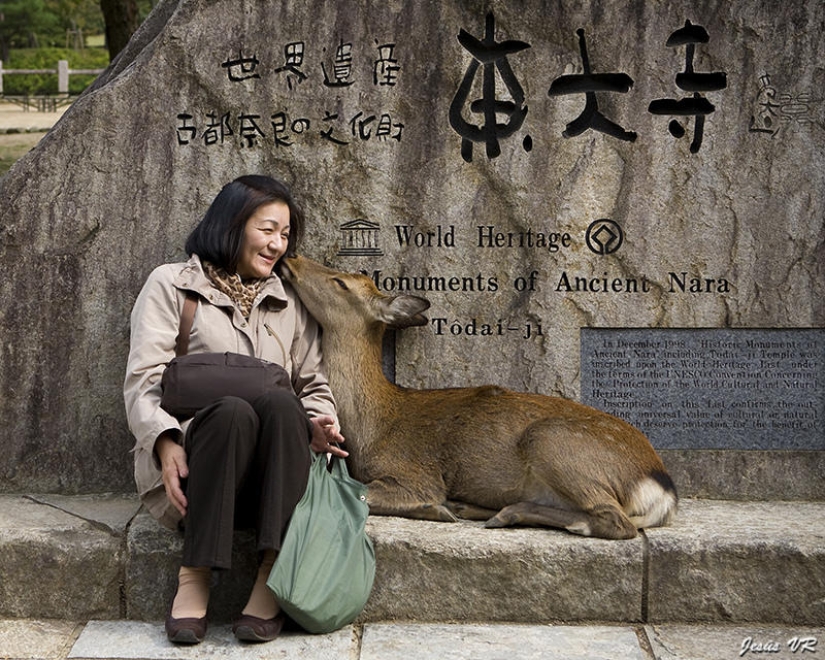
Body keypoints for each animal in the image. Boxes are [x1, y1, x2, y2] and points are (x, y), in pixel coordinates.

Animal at [280, 255, 680, 540]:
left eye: (341, 282)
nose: (293, 258)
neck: (372, 424)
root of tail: (663, 487)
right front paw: (444, 508)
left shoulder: (412, 472)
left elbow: (364, 492)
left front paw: (433, 508)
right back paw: (479, 509)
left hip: (553, 440)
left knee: (616, 522)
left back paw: (500, 513)